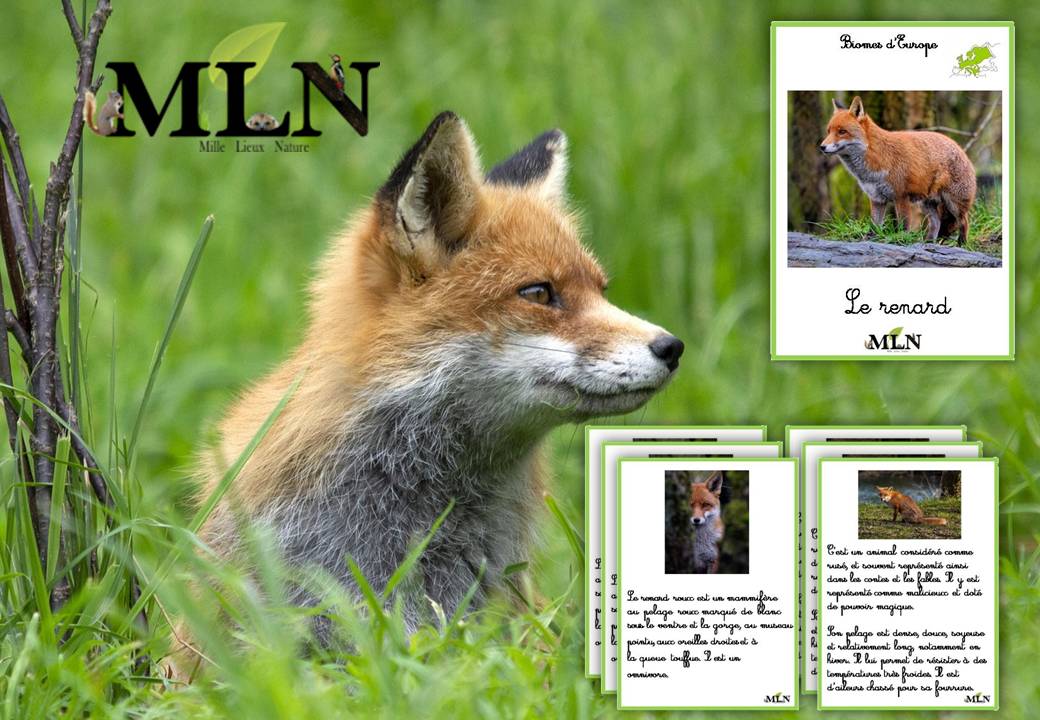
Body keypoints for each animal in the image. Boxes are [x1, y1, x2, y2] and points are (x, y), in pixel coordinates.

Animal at [820, 95, 976, 246]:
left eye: (842, 132)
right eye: (828, 131)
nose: (822, 147)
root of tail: (959, 147)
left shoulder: (901, 196)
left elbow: (903, 226)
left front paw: (901, 240)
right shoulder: (876, 198)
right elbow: (874, 226)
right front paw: (868, 240)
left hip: (953, 203)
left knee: (964, 222)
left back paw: (962, 245)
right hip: (926, 203)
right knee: (936, 223)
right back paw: (928, 243)